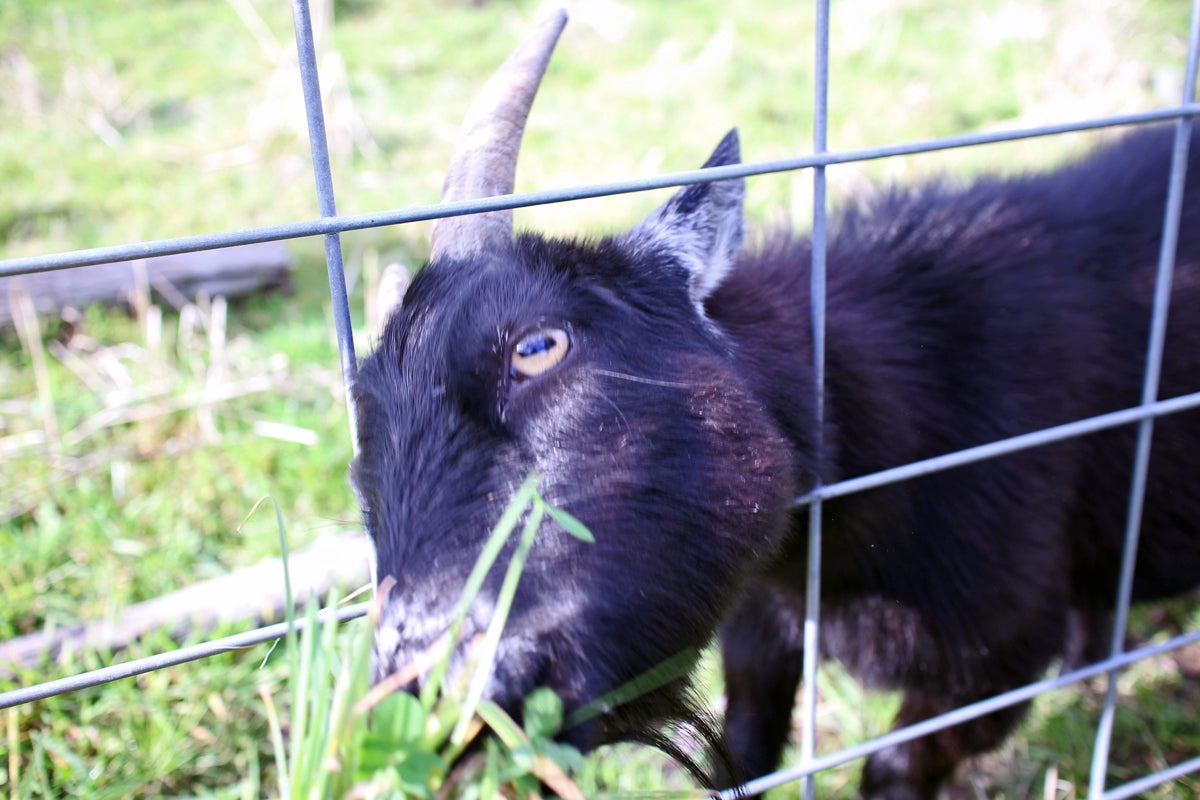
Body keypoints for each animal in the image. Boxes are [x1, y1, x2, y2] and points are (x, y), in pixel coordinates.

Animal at [350, 12, 1200, 800]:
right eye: (364, 438)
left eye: (537, 346)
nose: (432, 689)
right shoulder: (758, 620)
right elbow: (751, 738)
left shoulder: (997, 655)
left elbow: (894, 765)